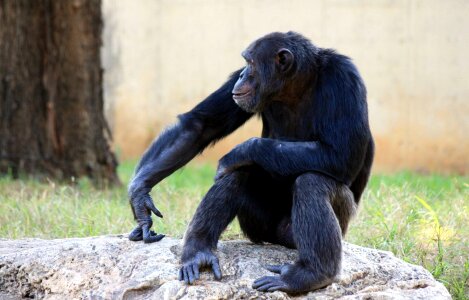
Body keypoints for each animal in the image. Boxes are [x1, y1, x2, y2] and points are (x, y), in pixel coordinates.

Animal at [127, 31, 372, 294]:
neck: (296, 86)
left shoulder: (345, 77)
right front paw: (140, 198)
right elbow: (200, 126)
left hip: (321, 228)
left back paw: (309, 275)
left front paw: (239, 151)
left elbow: (340, 155)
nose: (243, 74)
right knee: (239, 174)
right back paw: (198, 253)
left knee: (312, 182)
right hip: (259, 227)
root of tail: (277, 239)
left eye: (251, 63)